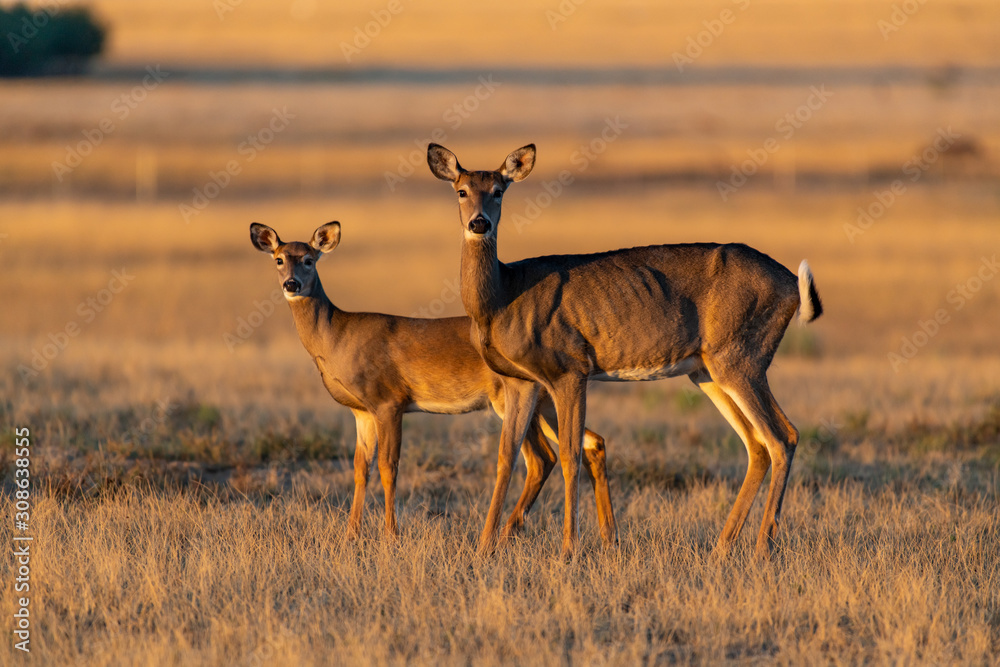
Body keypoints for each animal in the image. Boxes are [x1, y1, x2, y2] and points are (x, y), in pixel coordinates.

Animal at [249, 221, 618, 546]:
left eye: (309, 259)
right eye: (279, 259)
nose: (292, 285)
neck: (337, 336)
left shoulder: (388, 401)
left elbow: (388, 466)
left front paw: (391, 537)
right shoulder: (361, 411)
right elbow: (359, 467)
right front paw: (350, 535)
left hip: (514, 398)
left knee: (541, 457)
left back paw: (507, 535)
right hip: (544, 400)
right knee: (589, 443)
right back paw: (603, 539)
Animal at [427, 143, 823, 560]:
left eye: (499, 190)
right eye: (462, 190)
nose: (480, 224)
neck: (504, 296)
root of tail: (792, 286)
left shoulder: (570, 369)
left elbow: (570, 454)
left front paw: (568, 550)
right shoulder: (520, 380)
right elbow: (506, 456)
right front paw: (483, 547)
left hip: (741, 359)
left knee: (783, 437)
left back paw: (763, 547)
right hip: (708, 371)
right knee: (758, 444)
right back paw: (722, 546)